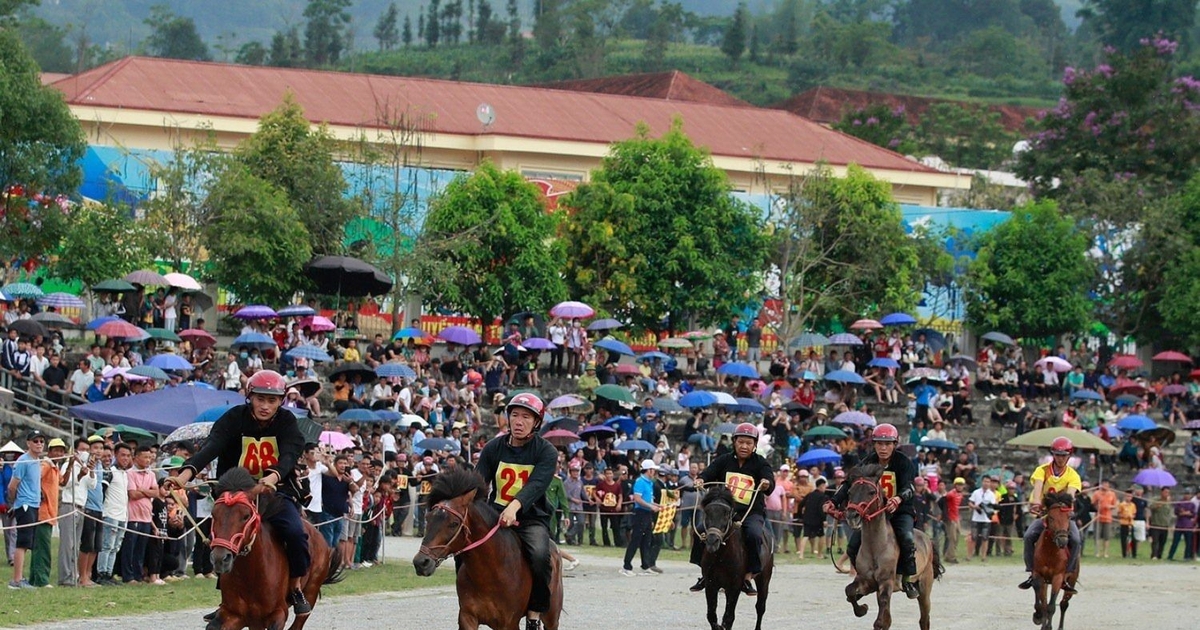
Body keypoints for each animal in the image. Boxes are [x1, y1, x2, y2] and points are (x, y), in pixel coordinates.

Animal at [207, 465, 343, 628]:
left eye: (246, 516)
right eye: (214, 514)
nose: (221, 558)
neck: (251, 573)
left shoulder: (277, 614)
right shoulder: (233, 615)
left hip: (312, 591)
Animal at [412, 465, 561, 628]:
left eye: (454, 523)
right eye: (428, 518)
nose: (421, 562)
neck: (491, 574)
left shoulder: (508, 623)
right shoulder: (467, 617)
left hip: (551, 617)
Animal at [700, 482, 772, 628]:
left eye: (727, 514)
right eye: (707, 512)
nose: (712, 541)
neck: (721, 557)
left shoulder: (734, 587)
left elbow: (728, 618)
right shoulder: (710, 585)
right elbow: (712, 616)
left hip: (764, 579)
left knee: (760, 607)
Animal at [840, 460, 940, 628]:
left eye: (871, 492)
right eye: (849, 492)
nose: (852, 516)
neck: (876, 547)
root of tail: (927, 539)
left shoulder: (886, 583)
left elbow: (881, 620)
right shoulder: (867, 582)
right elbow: (850, 591)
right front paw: (862, 608)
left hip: (925, 588)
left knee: (924, 619)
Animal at [1027, 494, 1084, 628]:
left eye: (1069, 517)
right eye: (1051, 517)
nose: (1062, 540)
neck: (1050, 552)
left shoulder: (1058, 577)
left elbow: (1051, 606)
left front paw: (1048, 626)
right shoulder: (1038, 575)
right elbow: (1041, 602)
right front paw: (1038, 617)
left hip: (1071, 581)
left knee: (1064, 604)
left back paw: (1060, 627)